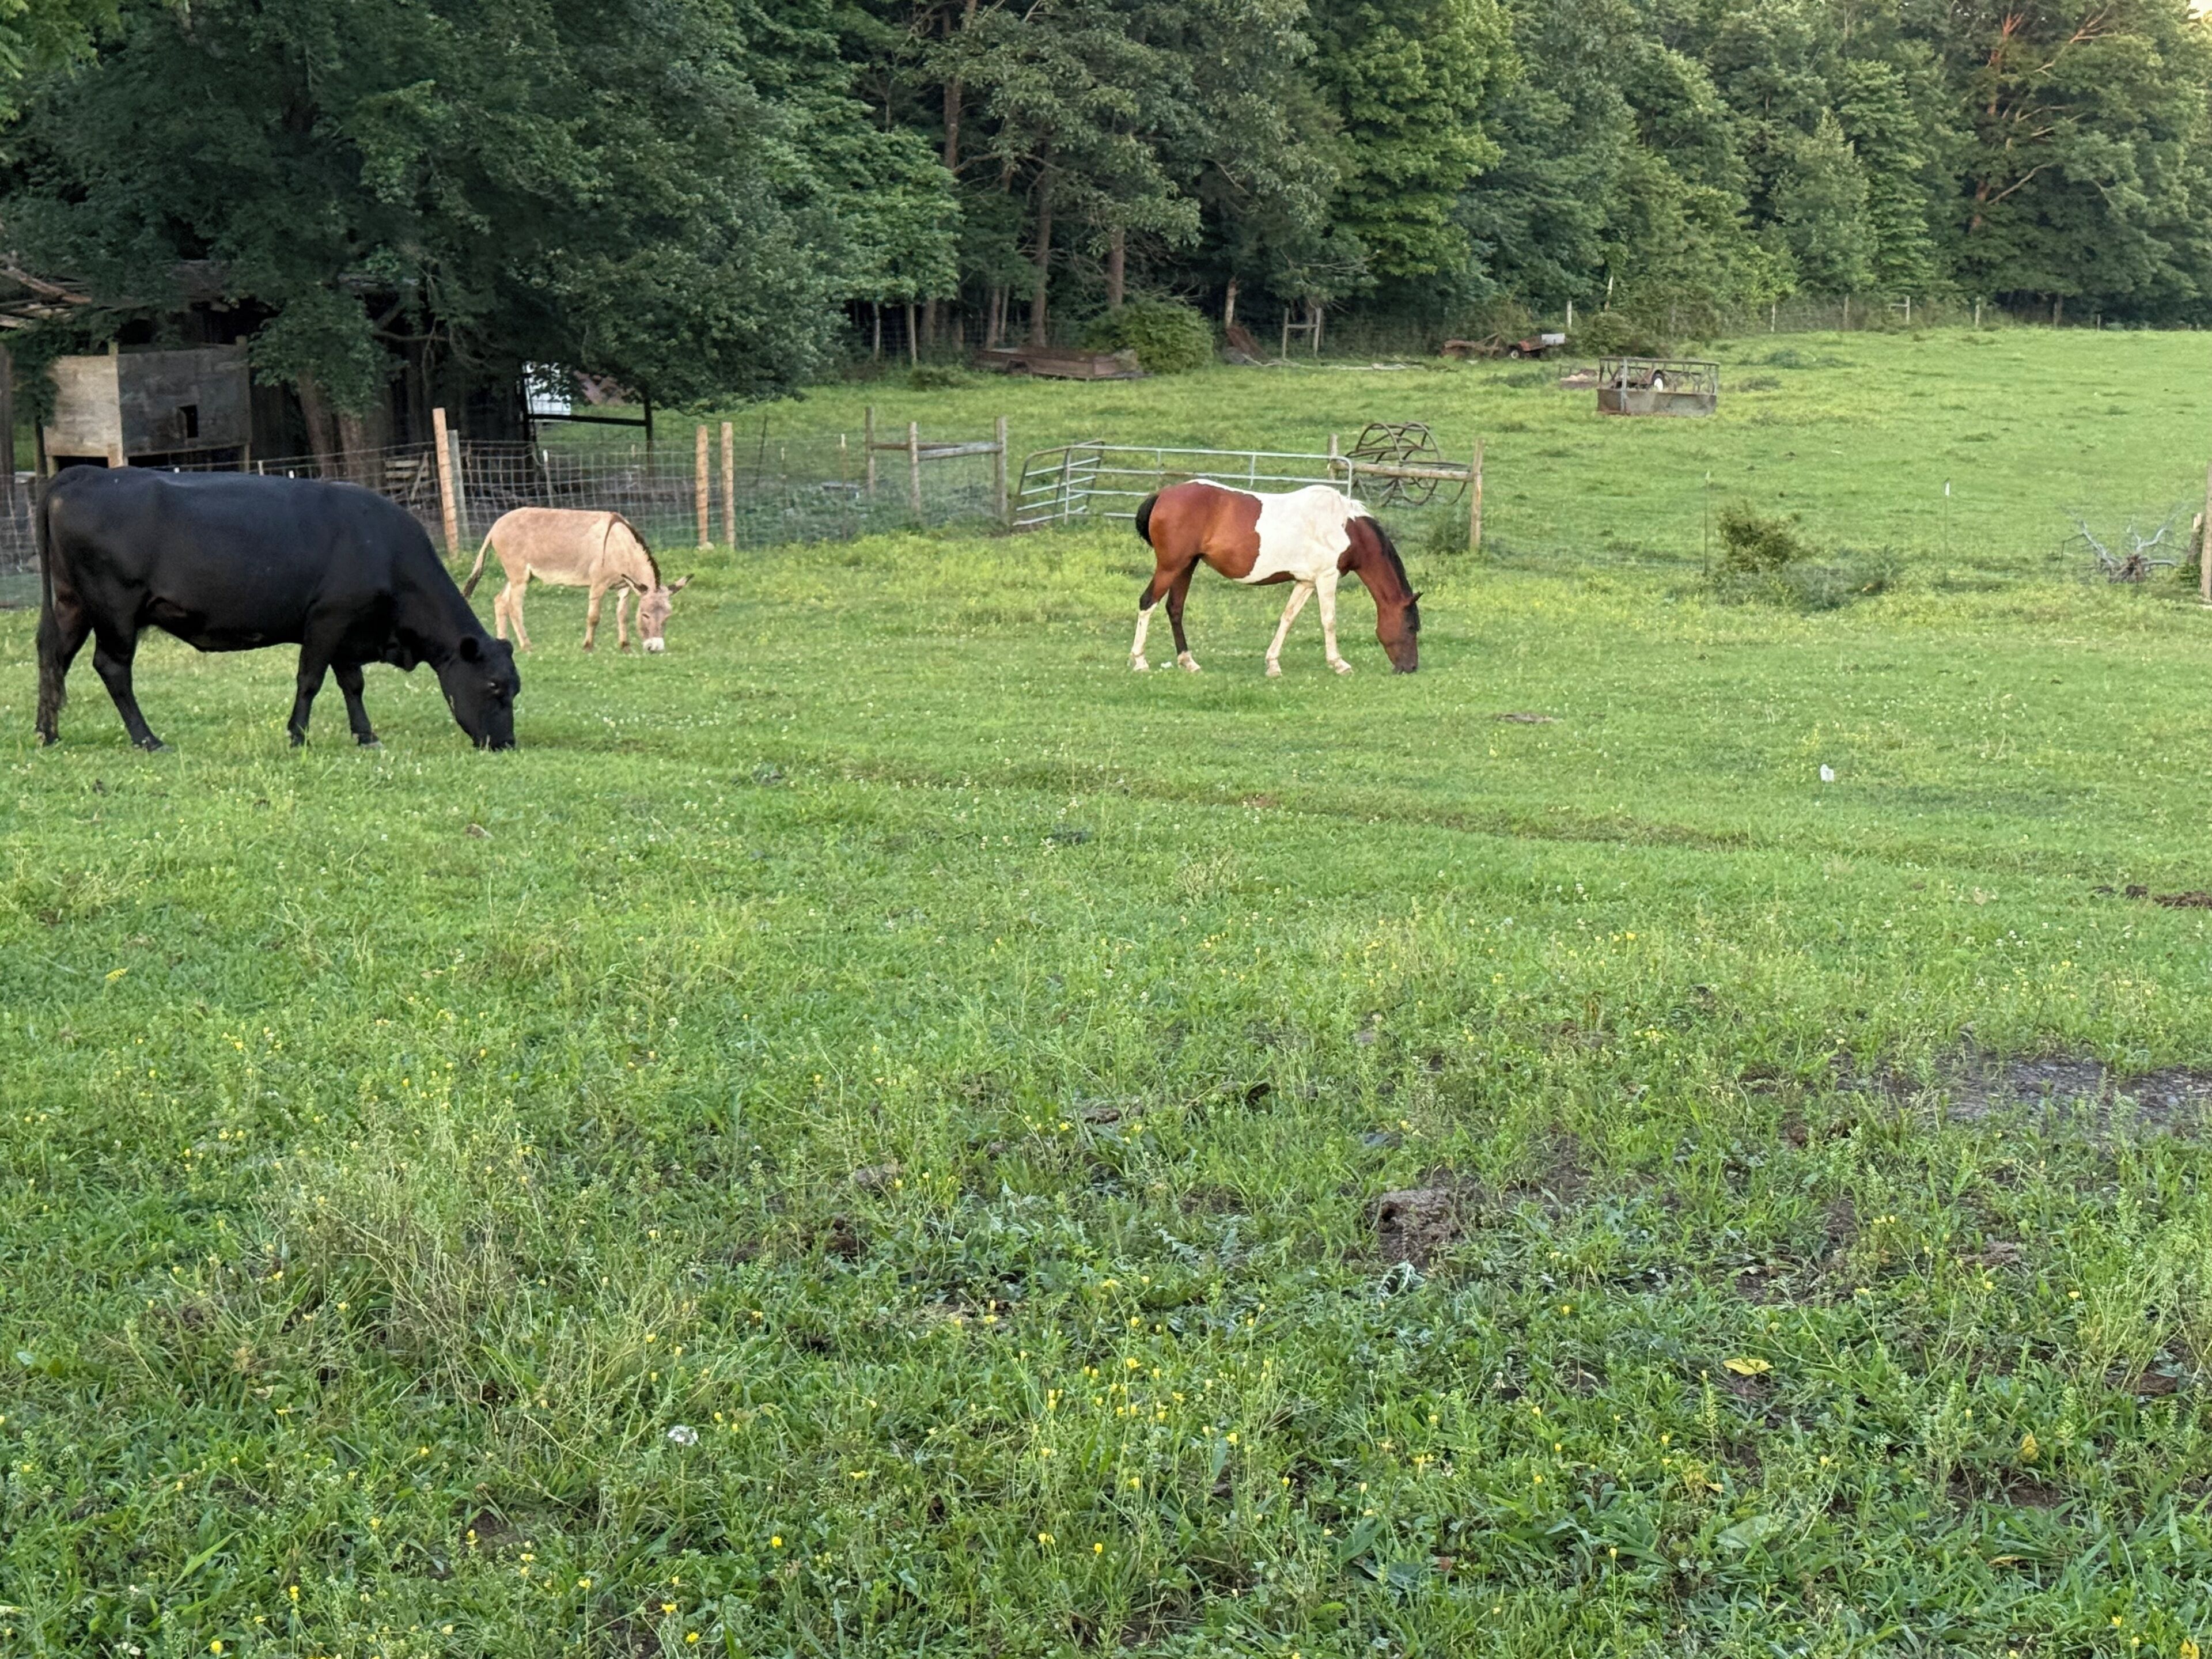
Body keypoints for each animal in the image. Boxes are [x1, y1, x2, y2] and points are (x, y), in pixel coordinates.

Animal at [35, 467, 519, 752]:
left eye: (515, 689)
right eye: (494, 686)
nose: (507, 744)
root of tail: (84, 474)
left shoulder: (348, 627)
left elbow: (352, 684)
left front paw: (366, 735)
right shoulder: (328, 618)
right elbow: (311, 680)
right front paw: (298, 735)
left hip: (72, 604)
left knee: (53, 657)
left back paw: (48, 732)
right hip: (114, 609)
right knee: (112, 668)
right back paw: (148, 739)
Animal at [460, 507, 688, 653]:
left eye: (667, 617)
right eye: (645, 615)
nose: (655, 648)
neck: (621, 545)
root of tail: (496, 525)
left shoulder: (624, 587)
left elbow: (622, 616)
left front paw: (625, 646)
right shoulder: (598, 584)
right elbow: (594, 617)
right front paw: (588, 647)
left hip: (522, 575)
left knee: (500, 601)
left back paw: (504, 642)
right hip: (519, 576)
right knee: (514, 607)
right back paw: (527, 646)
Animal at [1129, 481, 1419, 676]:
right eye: (1410, 627)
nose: (1410, 668)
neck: (1345, 527)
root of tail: (1162, 495)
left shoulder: (1306, 582)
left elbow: (1287, 619)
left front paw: (1273, 664)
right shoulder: (1327, 577)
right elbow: (1329, 621)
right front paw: (1339, 664)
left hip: (1187, 566)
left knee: (1175, 608)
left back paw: (1188, 662)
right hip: (1171, 566)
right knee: (1147, 603)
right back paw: (1140, 661)